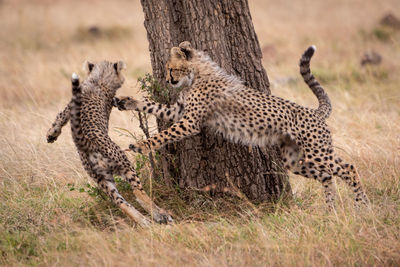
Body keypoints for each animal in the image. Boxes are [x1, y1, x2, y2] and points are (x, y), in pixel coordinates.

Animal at [46, 61, 172, 226]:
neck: (98, 79)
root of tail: (86, 144)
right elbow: (59, 117)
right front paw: (51, 135)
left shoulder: (71, 106)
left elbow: (60, 118)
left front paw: (51, 134)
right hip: (123, 163)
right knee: (138, 192)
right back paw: (159, 214)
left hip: (103, 179)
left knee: (120, 202)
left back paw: (144, 221)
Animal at [112, 42, 368, 209]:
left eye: (170, 68)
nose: (167, 80)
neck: (198, 74)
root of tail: (314, 112)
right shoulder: (180, 112)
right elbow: (153, 106)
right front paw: (126, 101)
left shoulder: (190, 122)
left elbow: (162, 135)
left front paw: (141, 146)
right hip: (294, 160)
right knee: (327, 177)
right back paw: (331, 211)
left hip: (317, 153)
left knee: (348, 168)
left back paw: (362, 207)